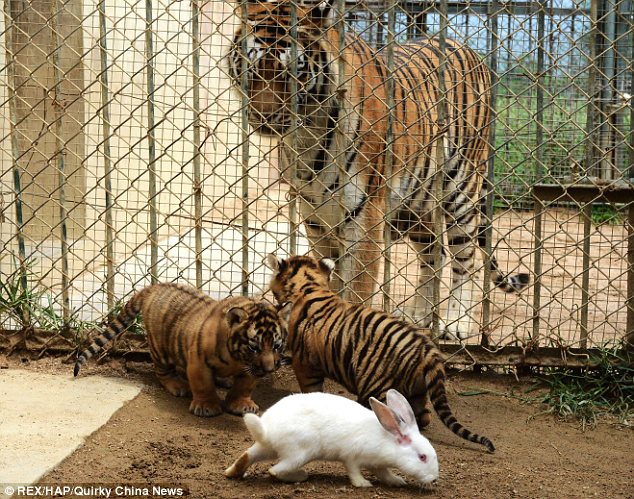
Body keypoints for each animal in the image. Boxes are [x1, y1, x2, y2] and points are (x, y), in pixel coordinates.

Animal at [225, 390, 436, 488]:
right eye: (422, 457)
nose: (434, 479)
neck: (388, 439)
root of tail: (268, 430)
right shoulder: (352, 457)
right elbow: (353, 471)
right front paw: (363, 484)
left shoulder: (378, 465)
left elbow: (385, 474)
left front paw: (397, 481)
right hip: (300, 454)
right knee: (274, 471)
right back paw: (300, 476)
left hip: (265, 449)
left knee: (247, 456)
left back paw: (231, 473)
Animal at [228, 0, 528, 340]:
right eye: (252, 66)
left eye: (293, 72)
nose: (263, 116)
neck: (306, 135)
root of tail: (468, 50)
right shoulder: (315, 217)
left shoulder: (365, 216)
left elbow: (357, 290)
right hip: (418, 203)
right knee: (434, 254)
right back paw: (420, 315)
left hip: (461, 190)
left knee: (465, 259)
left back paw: (455, 324)